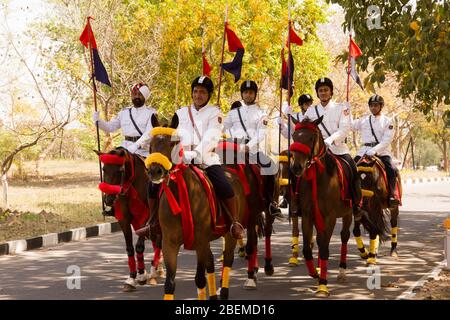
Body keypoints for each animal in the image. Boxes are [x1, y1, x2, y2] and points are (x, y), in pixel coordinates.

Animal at [96, 146, 163, 292]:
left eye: (120, 170)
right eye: (104, 169)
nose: (109, 200)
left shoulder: (145, 217)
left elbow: (139, 246)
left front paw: (142, 276)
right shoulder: (124, 219)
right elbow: (129, 248)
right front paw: (131, 278)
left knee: (159, 242)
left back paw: (154, 271)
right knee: (156, 241)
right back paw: (157, 270)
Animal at [146, 113, 248, 300]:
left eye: (173, 143)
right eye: (151, 143)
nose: (155, 171)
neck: (181, 193)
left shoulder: (200, 242)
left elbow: (200, 279)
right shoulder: (169, 244)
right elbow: (170, 284)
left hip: (229, 235)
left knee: (227, 261)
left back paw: (223, 293)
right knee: (211, 263)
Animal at [288, 117, 386, 298]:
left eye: (310, 138)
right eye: (294, 136)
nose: (296, 167)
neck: (318, 178)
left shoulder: (330, 217)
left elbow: (325, 249)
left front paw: (322, 286)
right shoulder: (308, 215)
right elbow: (307, 249)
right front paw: (316, 273)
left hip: (348, 214)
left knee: (344, 237)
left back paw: (342, 271)